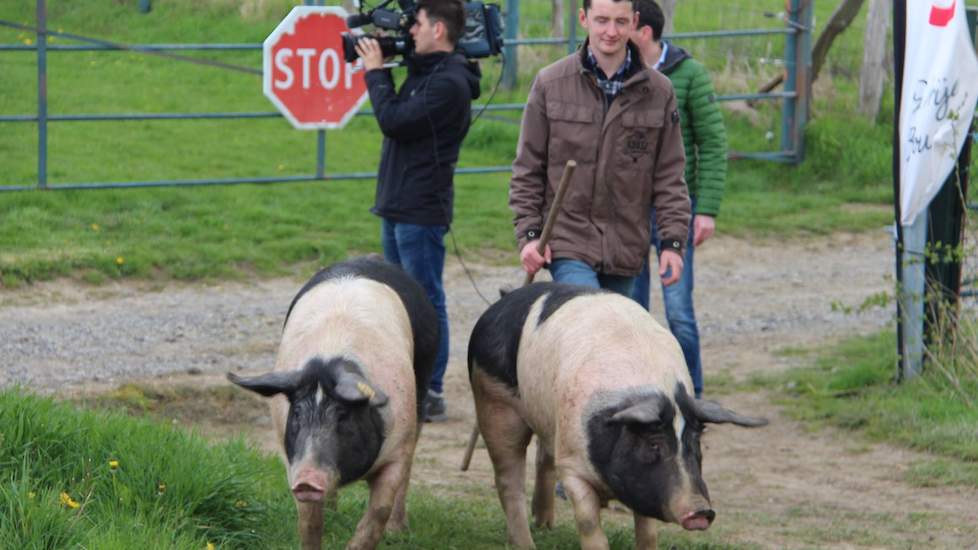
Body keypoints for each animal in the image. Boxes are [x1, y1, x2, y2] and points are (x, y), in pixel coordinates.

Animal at [229, 258, 434, 550]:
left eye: (343, 416)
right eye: (297, 414)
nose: (307, 481)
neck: (329, 358)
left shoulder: (398, 446)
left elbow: (379, 510)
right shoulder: (293, 458)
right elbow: (308, 522)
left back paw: (398, 531)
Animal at [466, 284, 764, 550]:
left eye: (695, 443)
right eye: (653, 444)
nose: (702, 511)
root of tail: (503, 301)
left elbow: (648, 532)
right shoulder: (572, 465)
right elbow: (590, 526)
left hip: (545, 421)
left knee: (542, 458)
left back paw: (545, 525)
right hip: (494, 403)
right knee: (508, 480)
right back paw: (526, 544)